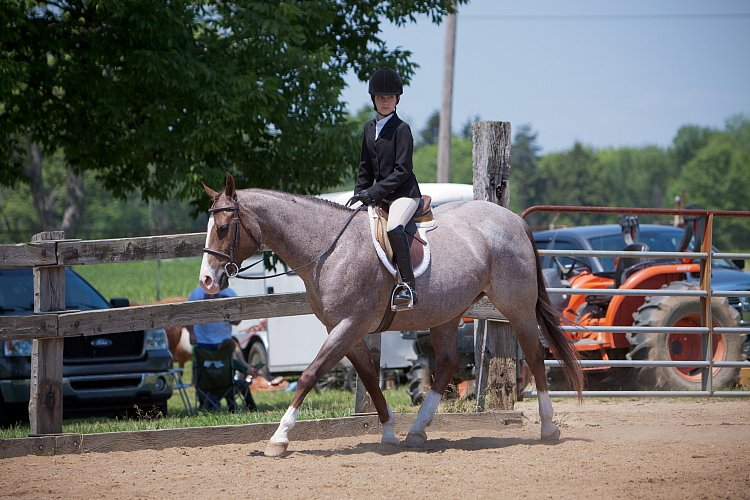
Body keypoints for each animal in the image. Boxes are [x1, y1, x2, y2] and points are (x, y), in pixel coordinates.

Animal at [197, 173, 584, 458]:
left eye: (222, 228)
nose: (207, 281)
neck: (327, 247)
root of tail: (514, 219)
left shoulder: (347, 326)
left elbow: (309, 375)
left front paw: (278, 438)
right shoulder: (346, 330)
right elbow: (370, 379)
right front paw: (388, 434)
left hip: (516, 307)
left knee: (534, 356)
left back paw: (548, 428)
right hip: (446, 313)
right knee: (446, 363)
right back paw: (416, 432)